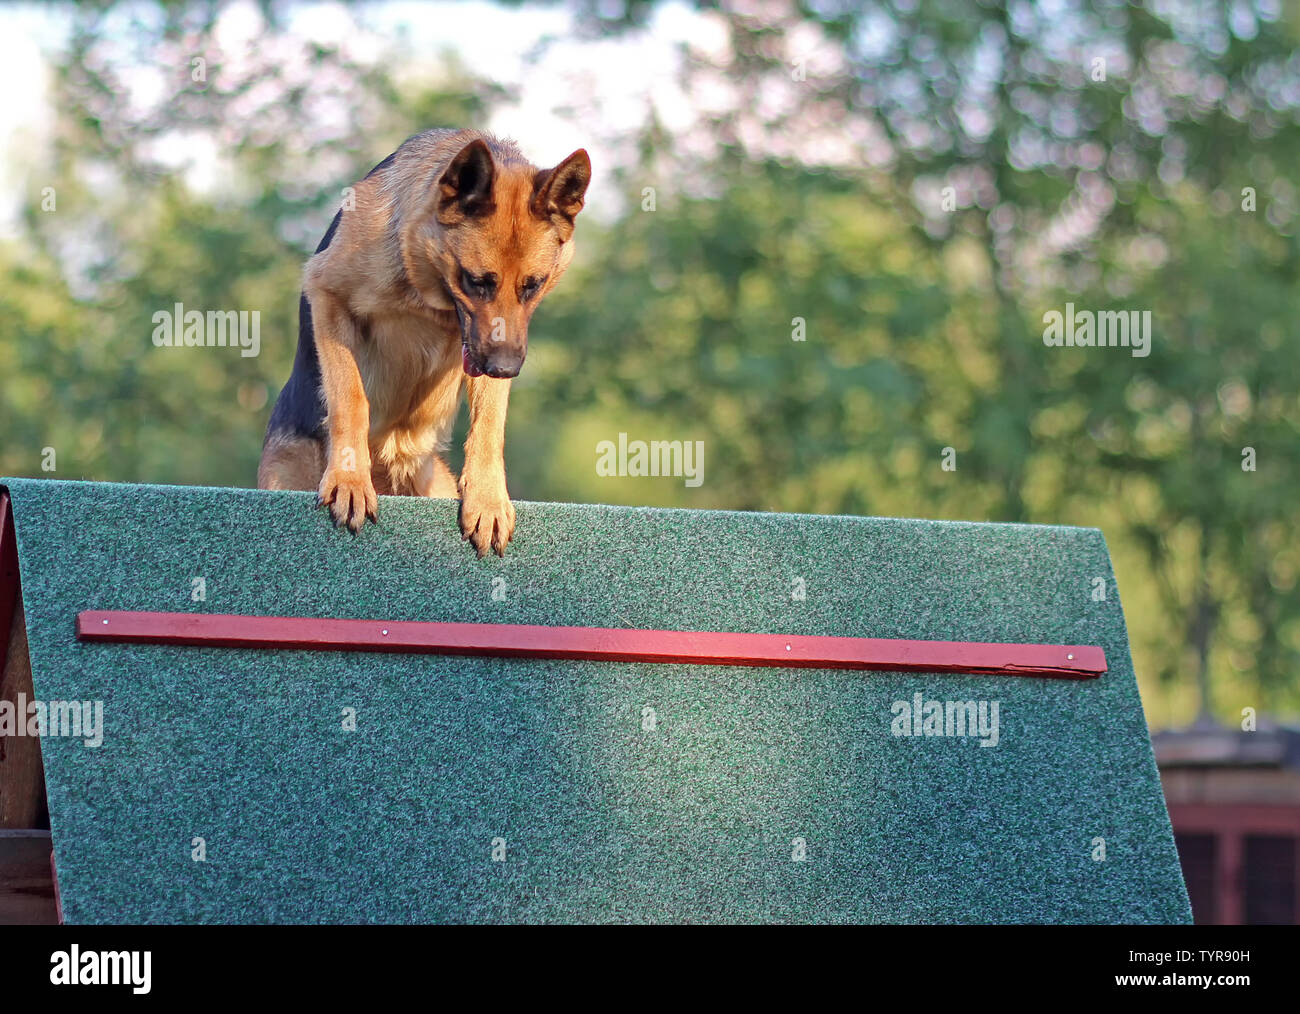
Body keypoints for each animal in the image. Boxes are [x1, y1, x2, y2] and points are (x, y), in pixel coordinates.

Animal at [257, 128, 590, 553]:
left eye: (533, 286)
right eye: (475, 281)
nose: (505, 370)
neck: (426, 295)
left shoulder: (489, 347)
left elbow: (489, 424)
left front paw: (487, 499)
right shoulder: (327, 295)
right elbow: (350, 396)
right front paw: (350, 479)